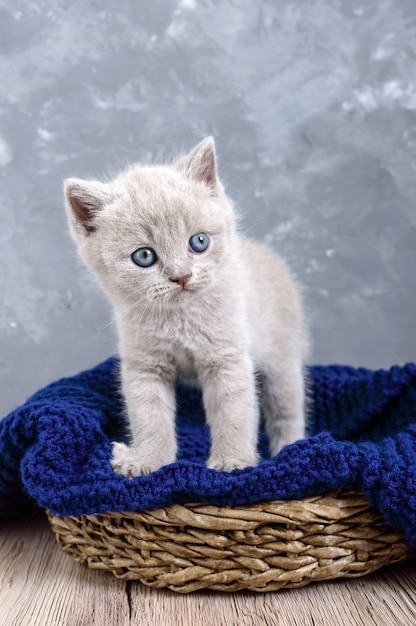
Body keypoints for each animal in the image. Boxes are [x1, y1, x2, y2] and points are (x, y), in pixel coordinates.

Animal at [63, 134, 308, 470]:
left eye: (199, 242)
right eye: (144, 256)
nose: (181, 276)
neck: (179, 319)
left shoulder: (227, 358)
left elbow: (233, 412)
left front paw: (232, 461)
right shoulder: (144, 365)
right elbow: (149, 415)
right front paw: (147, 460)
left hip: (282, 357)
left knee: (287, 408)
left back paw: (291, 449)